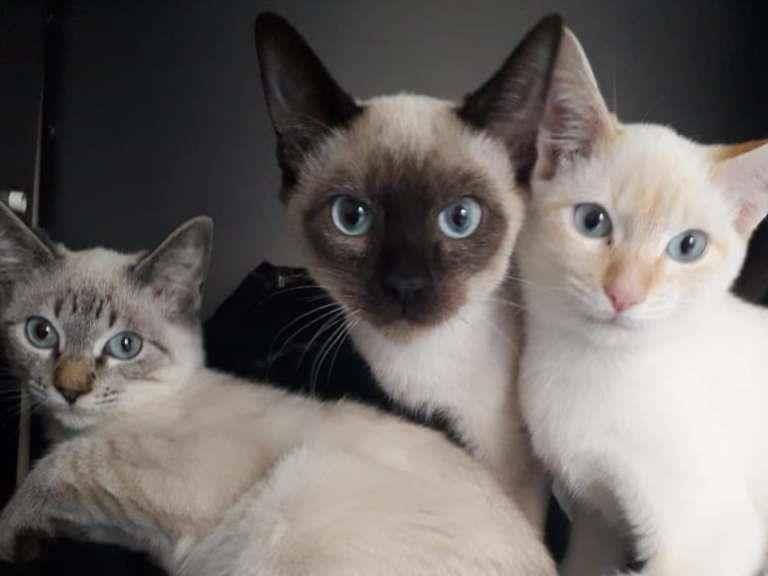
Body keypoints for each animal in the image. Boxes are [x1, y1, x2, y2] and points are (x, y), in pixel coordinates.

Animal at [0, 203, 556, 575]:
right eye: (40, 333)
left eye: (125, 346)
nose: (70, 389)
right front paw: (31, 542)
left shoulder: (171, 477)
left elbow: (54, 472)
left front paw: (9, 535)